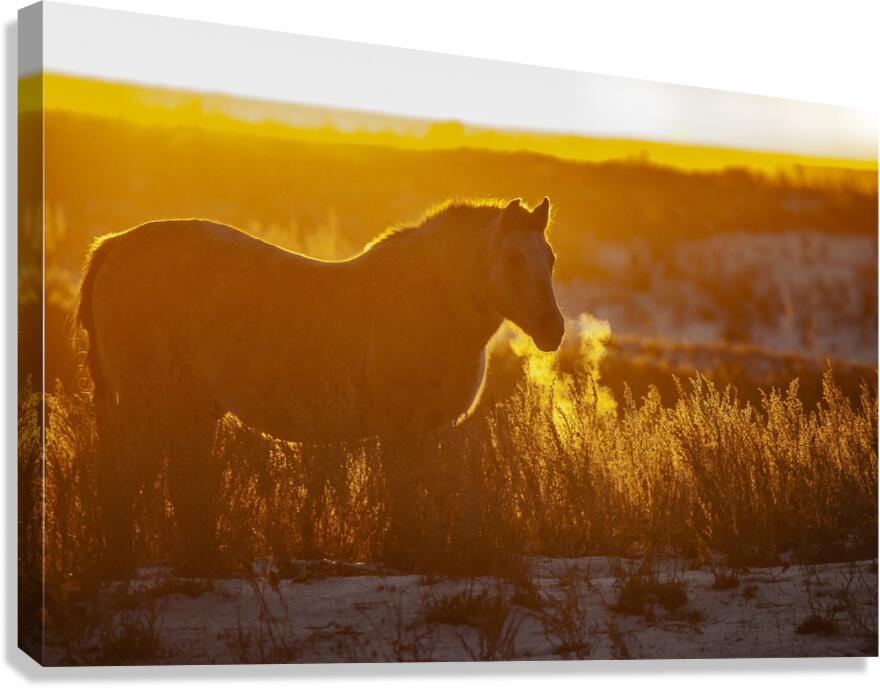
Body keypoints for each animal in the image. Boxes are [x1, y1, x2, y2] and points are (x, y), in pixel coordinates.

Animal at [78, 197, 564, 572]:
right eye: (514, 259)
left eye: (551, 259)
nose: (553, 329)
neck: (434, 299)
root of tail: (114, 245)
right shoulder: (400, 430)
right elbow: (406, 495)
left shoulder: (427, 431)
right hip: (149, 409)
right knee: (125, 481)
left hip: (191, 413)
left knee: (179, 485)